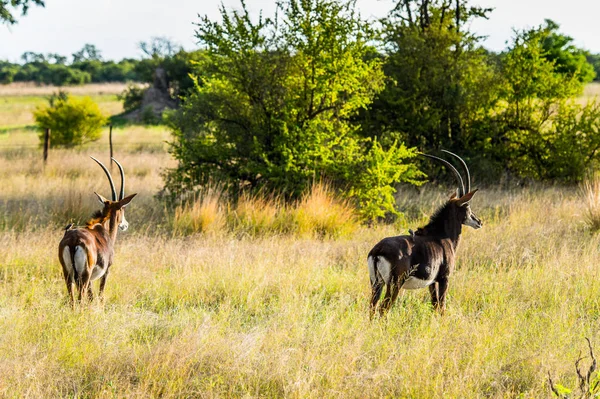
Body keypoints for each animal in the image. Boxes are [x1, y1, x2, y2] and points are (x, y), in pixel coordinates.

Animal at [58, 158, 137, 304]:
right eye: (123, 208)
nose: (125, 225)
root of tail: (73, 241)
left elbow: (91, 297)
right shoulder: (106, 271)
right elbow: (100, 295)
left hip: (67, 274)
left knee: (72, 299)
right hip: (84, 275)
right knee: (80, 298)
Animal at [366, 152, 482, 318]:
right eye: (467, 206)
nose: (479, 221)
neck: (442, 236)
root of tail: (377, 251)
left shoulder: (431, 282)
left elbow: (434, 305)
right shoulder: (444, 278)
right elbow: (442, 306)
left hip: (376, 283)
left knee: (372, 307)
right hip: (394, 284)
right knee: (384, 308)